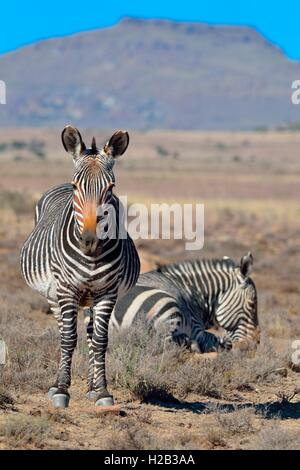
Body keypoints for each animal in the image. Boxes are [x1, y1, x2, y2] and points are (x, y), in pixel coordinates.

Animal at [21, 126, 141, 408]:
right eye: (77, 186)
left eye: (111, 187)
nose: (90, 239)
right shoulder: (66, 289)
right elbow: (68, 338)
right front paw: (61, 390)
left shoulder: (108, 292)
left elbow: (99, 340)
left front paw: (102, 391)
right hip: (54, 294)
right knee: (63, 331)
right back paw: (58, 384)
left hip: (91, 296)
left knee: (89, 333)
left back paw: (91, 386)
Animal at [111, 253, 258, 352]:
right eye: (251, 304)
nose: (255, 344)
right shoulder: (197, 329)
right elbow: (218, 341)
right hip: (167, 306)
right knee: (163, 344)